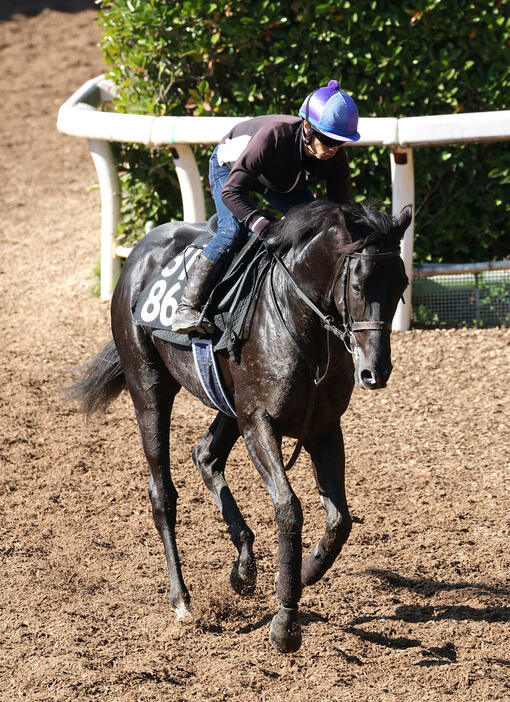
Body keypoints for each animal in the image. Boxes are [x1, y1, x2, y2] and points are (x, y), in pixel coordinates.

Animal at [70, 199, 410, 656]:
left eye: (401, 283)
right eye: (357, 285)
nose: (376, 371)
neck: (298, 322)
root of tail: (139, 252)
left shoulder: (322, 427)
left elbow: (340, 521)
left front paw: (302, 572)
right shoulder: (259, 422)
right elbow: (288, 508)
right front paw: (286, 621)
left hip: (228, 406)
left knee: (205, 455)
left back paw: (244, 567)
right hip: (149, 389)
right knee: (163, 493)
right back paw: (182, 600)